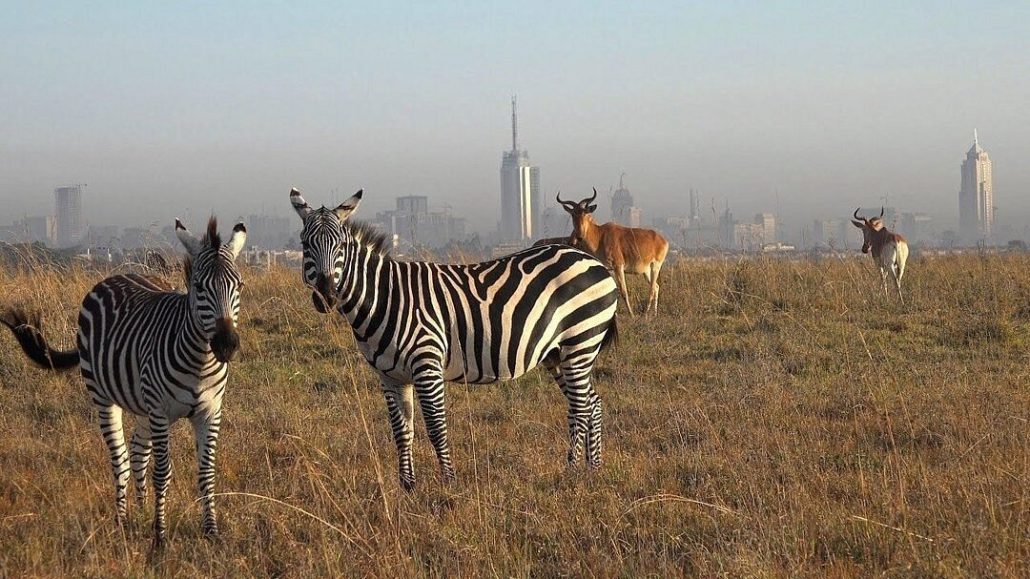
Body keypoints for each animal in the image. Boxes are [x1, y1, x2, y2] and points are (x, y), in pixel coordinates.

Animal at [0, 216, 247, 543]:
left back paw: (141, 512)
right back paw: (123, 521)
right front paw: (160, 536)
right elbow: (162, 473)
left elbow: (206, 473)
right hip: (105, 398)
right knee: (122, 461)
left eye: (239, 285)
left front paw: (211, 533)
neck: (200, 361)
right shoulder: (160, 410)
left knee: (139, 451)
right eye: (198, 286)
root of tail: (119, 274)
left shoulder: (209, 411)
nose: (227, 345)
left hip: (143, 405)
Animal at [290, 188, 618, 486]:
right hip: (557, 353)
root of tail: (591, 261)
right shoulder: (390, 376)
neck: (386, 297)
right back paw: (593, 470)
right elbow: (402, 431)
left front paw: (449, 482)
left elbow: (436, 428)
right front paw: (407, 487)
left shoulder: (426, 364)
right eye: (305, 244)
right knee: (592, 402)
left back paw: (571, 471)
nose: (326, 296)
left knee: (580, 407)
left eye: (341, 246)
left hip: (580, 341)